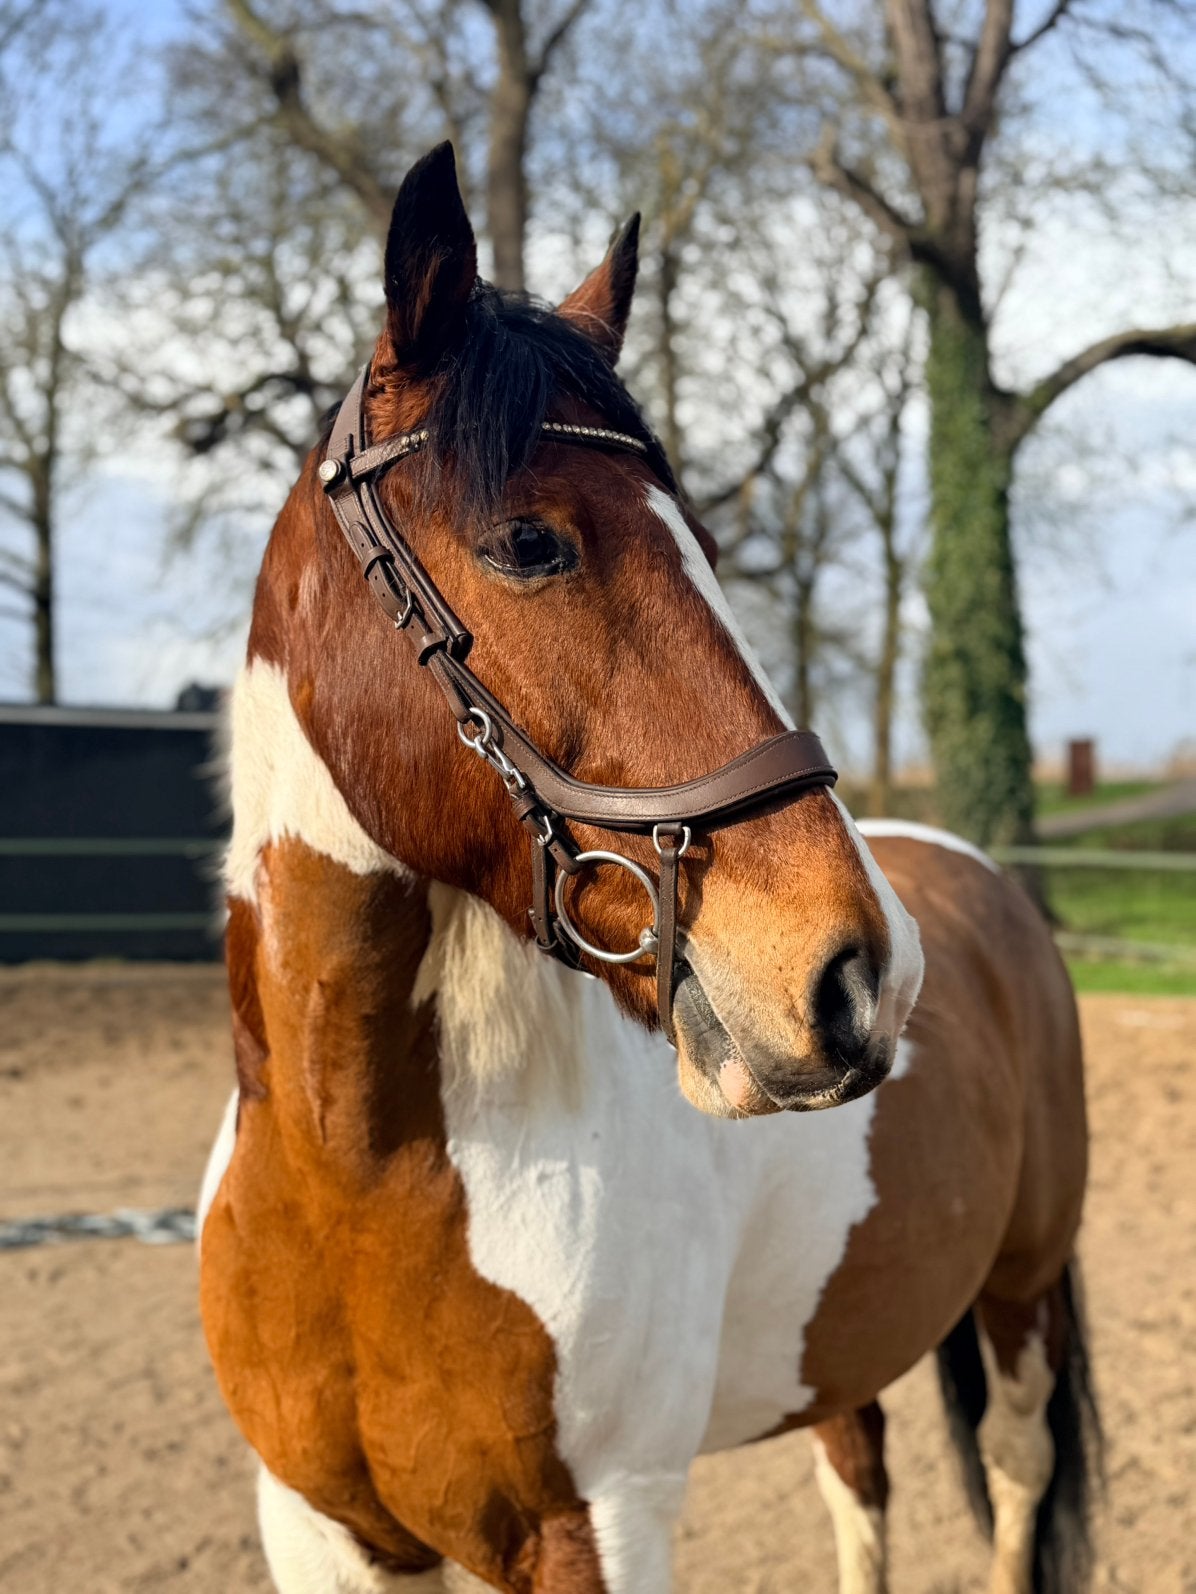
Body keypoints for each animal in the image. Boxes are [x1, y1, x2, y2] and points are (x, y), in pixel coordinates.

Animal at [198, 143, 1098, 1594]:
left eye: (708, 552)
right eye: (529, 541)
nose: (862, 975)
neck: (359, 1179)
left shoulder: (602, 1525)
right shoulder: (327, 1536)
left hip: (1019, 1303)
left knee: (1016, 1483)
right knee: (859, 1481)